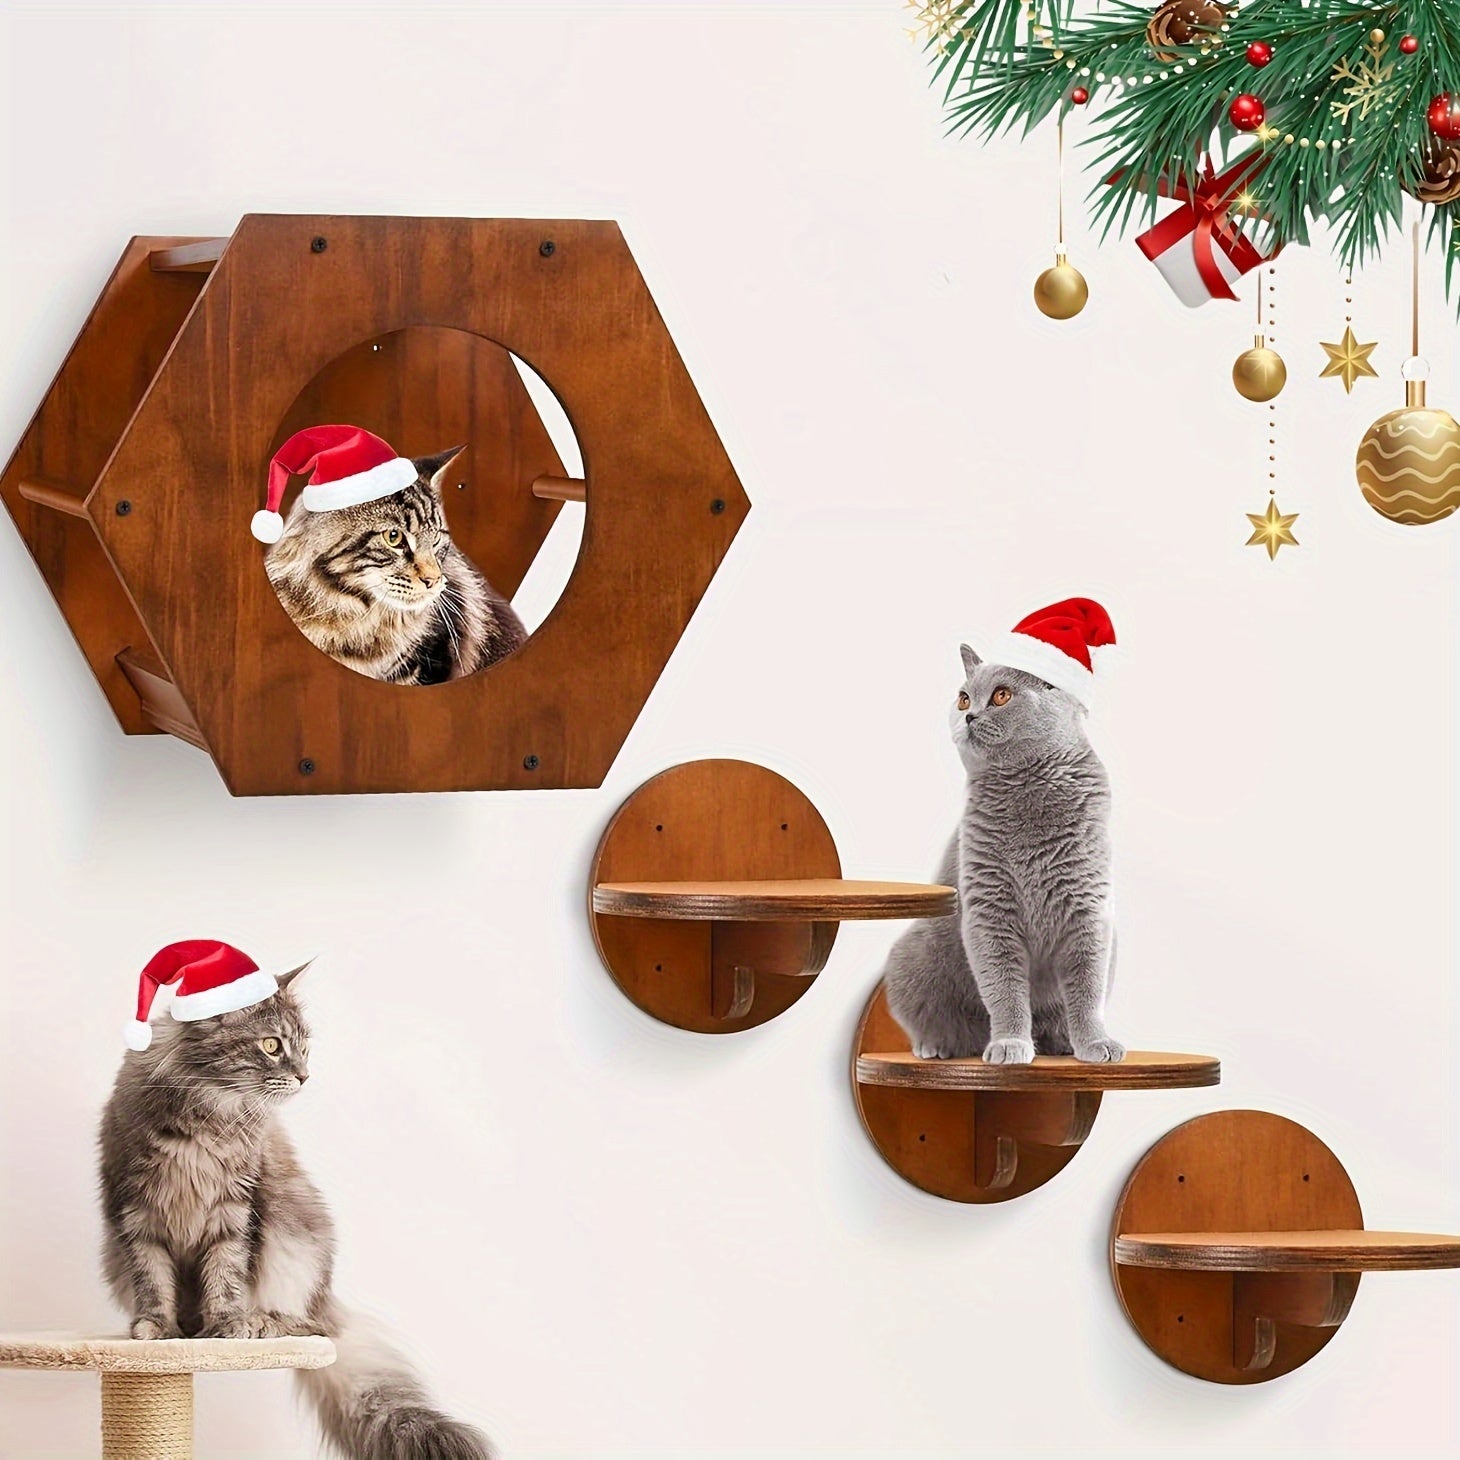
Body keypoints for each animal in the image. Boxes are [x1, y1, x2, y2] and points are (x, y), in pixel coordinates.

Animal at [101, 969, 496, 1460]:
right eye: (272, 1045)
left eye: (305, 1048)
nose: (306, 1076)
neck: (209, 1110)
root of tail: (329, 1301)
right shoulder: (136, 1211)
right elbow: (153, 1280)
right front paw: (157, 1328)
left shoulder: (234, 1212)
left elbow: (225, 1276)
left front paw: (227, 1326)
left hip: (298, 1237)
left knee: (312, 1327)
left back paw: (261, 1322)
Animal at [887, 610, 1115, 1068]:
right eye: (962, 699)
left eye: (1002, 695)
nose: (969, 716)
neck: (1026, 791)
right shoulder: (989, 911)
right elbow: (1004, 988)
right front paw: (1010, 1044)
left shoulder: (1087, 910)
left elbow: (1086, 989)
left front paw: (1095, 1043)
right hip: (911, 956)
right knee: (939, 1019)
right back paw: (939, 1045)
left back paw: (1061, 1043)